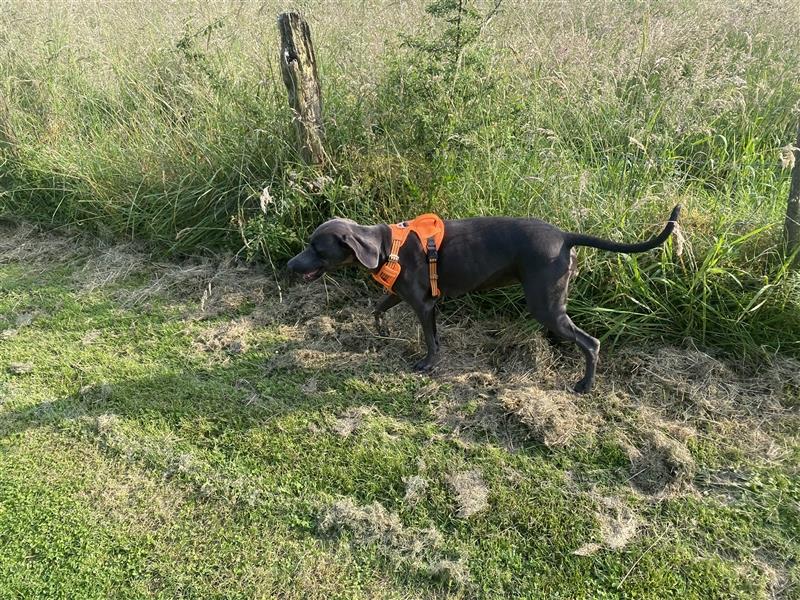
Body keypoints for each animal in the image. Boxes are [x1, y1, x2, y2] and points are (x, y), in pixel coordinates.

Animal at [288, 206, 680, 394]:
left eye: (316, 248)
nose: (290, 265)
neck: (386, 246)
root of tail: (565, 237)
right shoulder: (404, 295)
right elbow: (378, 308)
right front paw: (382, 331)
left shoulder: (423, 304)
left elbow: (430, 340)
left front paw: (427, 364)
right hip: (552, 303)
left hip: (544, 304)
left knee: (592, 342)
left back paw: (585, 385)